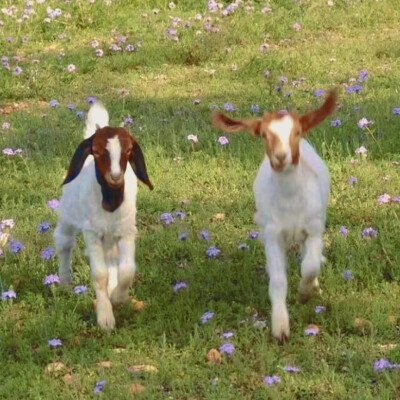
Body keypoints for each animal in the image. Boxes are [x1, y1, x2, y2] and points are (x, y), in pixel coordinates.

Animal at [53, 103, 153, 332]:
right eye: (97, 152)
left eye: (128, 151)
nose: (115, 177)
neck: (110, 203)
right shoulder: (92, 232)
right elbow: (99, 274)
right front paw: (105, 318)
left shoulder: (127, 231)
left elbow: (127, 270)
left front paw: (117, 296)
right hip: (68, 214)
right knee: (63, 242)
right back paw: (65, 280)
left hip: (112, 236)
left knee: (112, 258)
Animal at [212, 92, 338, 342]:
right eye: (263, 134)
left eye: (297, 132)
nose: (281, 157)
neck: (290, 201)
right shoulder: (272, 234)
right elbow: (279, 281)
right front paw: (280, 328)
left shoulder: (314, 228)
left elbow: (310, 266)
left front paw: (305, 292)